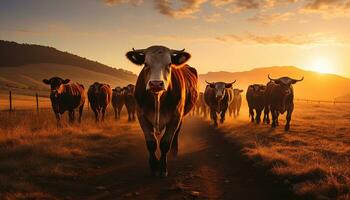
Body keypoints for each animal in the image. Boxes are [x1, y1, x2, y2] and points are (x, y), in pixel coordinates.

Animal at [126, 45, 198, 177]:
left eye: (169, 64)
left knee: (177, 133)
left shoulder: (175, 117)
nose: (156, 84)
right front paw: (154, 166)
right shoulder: (142, 116)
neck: (158, 98)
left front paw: (163, 168)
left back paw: (174, 152)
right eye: (145, 64)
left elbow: (165, 143)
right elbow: (151, 143)